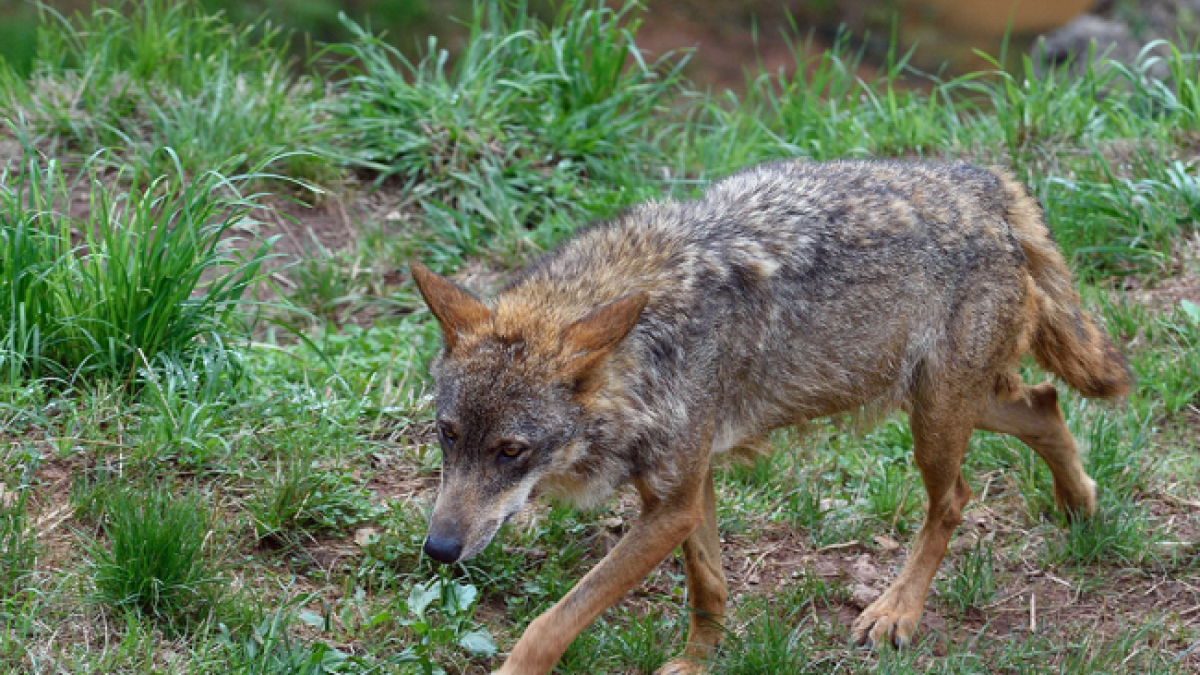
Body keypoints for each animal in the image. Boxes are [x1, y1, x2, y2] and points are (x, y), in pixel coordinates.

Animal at [410, 159, 1133, 674]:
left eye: (511, 451)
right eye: (448, 435)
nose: (438, 550)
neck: (650, 342)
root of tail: (990, 185)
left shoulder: (669, 505)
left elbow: (551, 623)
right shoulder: (685, 492)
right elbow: (709, 588)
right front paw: (699, 663)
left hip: (933, 421)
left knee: (954, 497)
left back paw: (897, 610)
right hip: (947, 401)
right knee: (1045, 403)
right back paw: (1080, 504)